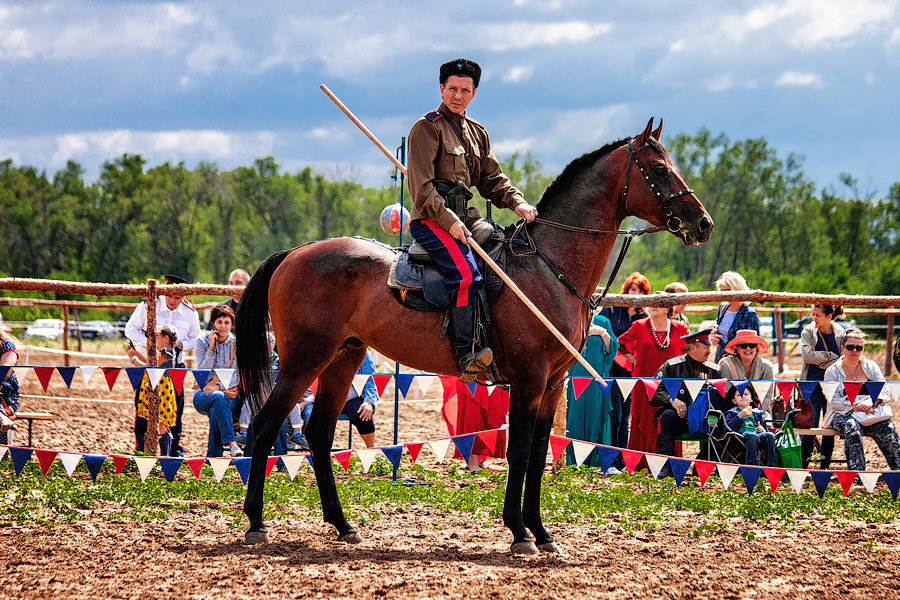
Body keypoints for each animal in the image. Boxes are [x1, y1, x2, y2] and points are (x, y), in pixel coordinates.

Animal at [236, 119, 712, 556]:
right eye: (659, 168)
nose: (703, 224)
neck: (547, 268)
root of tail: (294, 254)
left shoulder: (554, 383)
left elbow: (540, 451)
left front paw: (541, 530)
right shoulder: (529, 378)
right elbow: (519, 450)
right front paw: (520, 532)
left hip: (343, 358)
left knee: (318, 434)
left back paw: (342, 524)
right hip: (303, 361)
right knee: (264, 426)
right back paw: (257, 523)